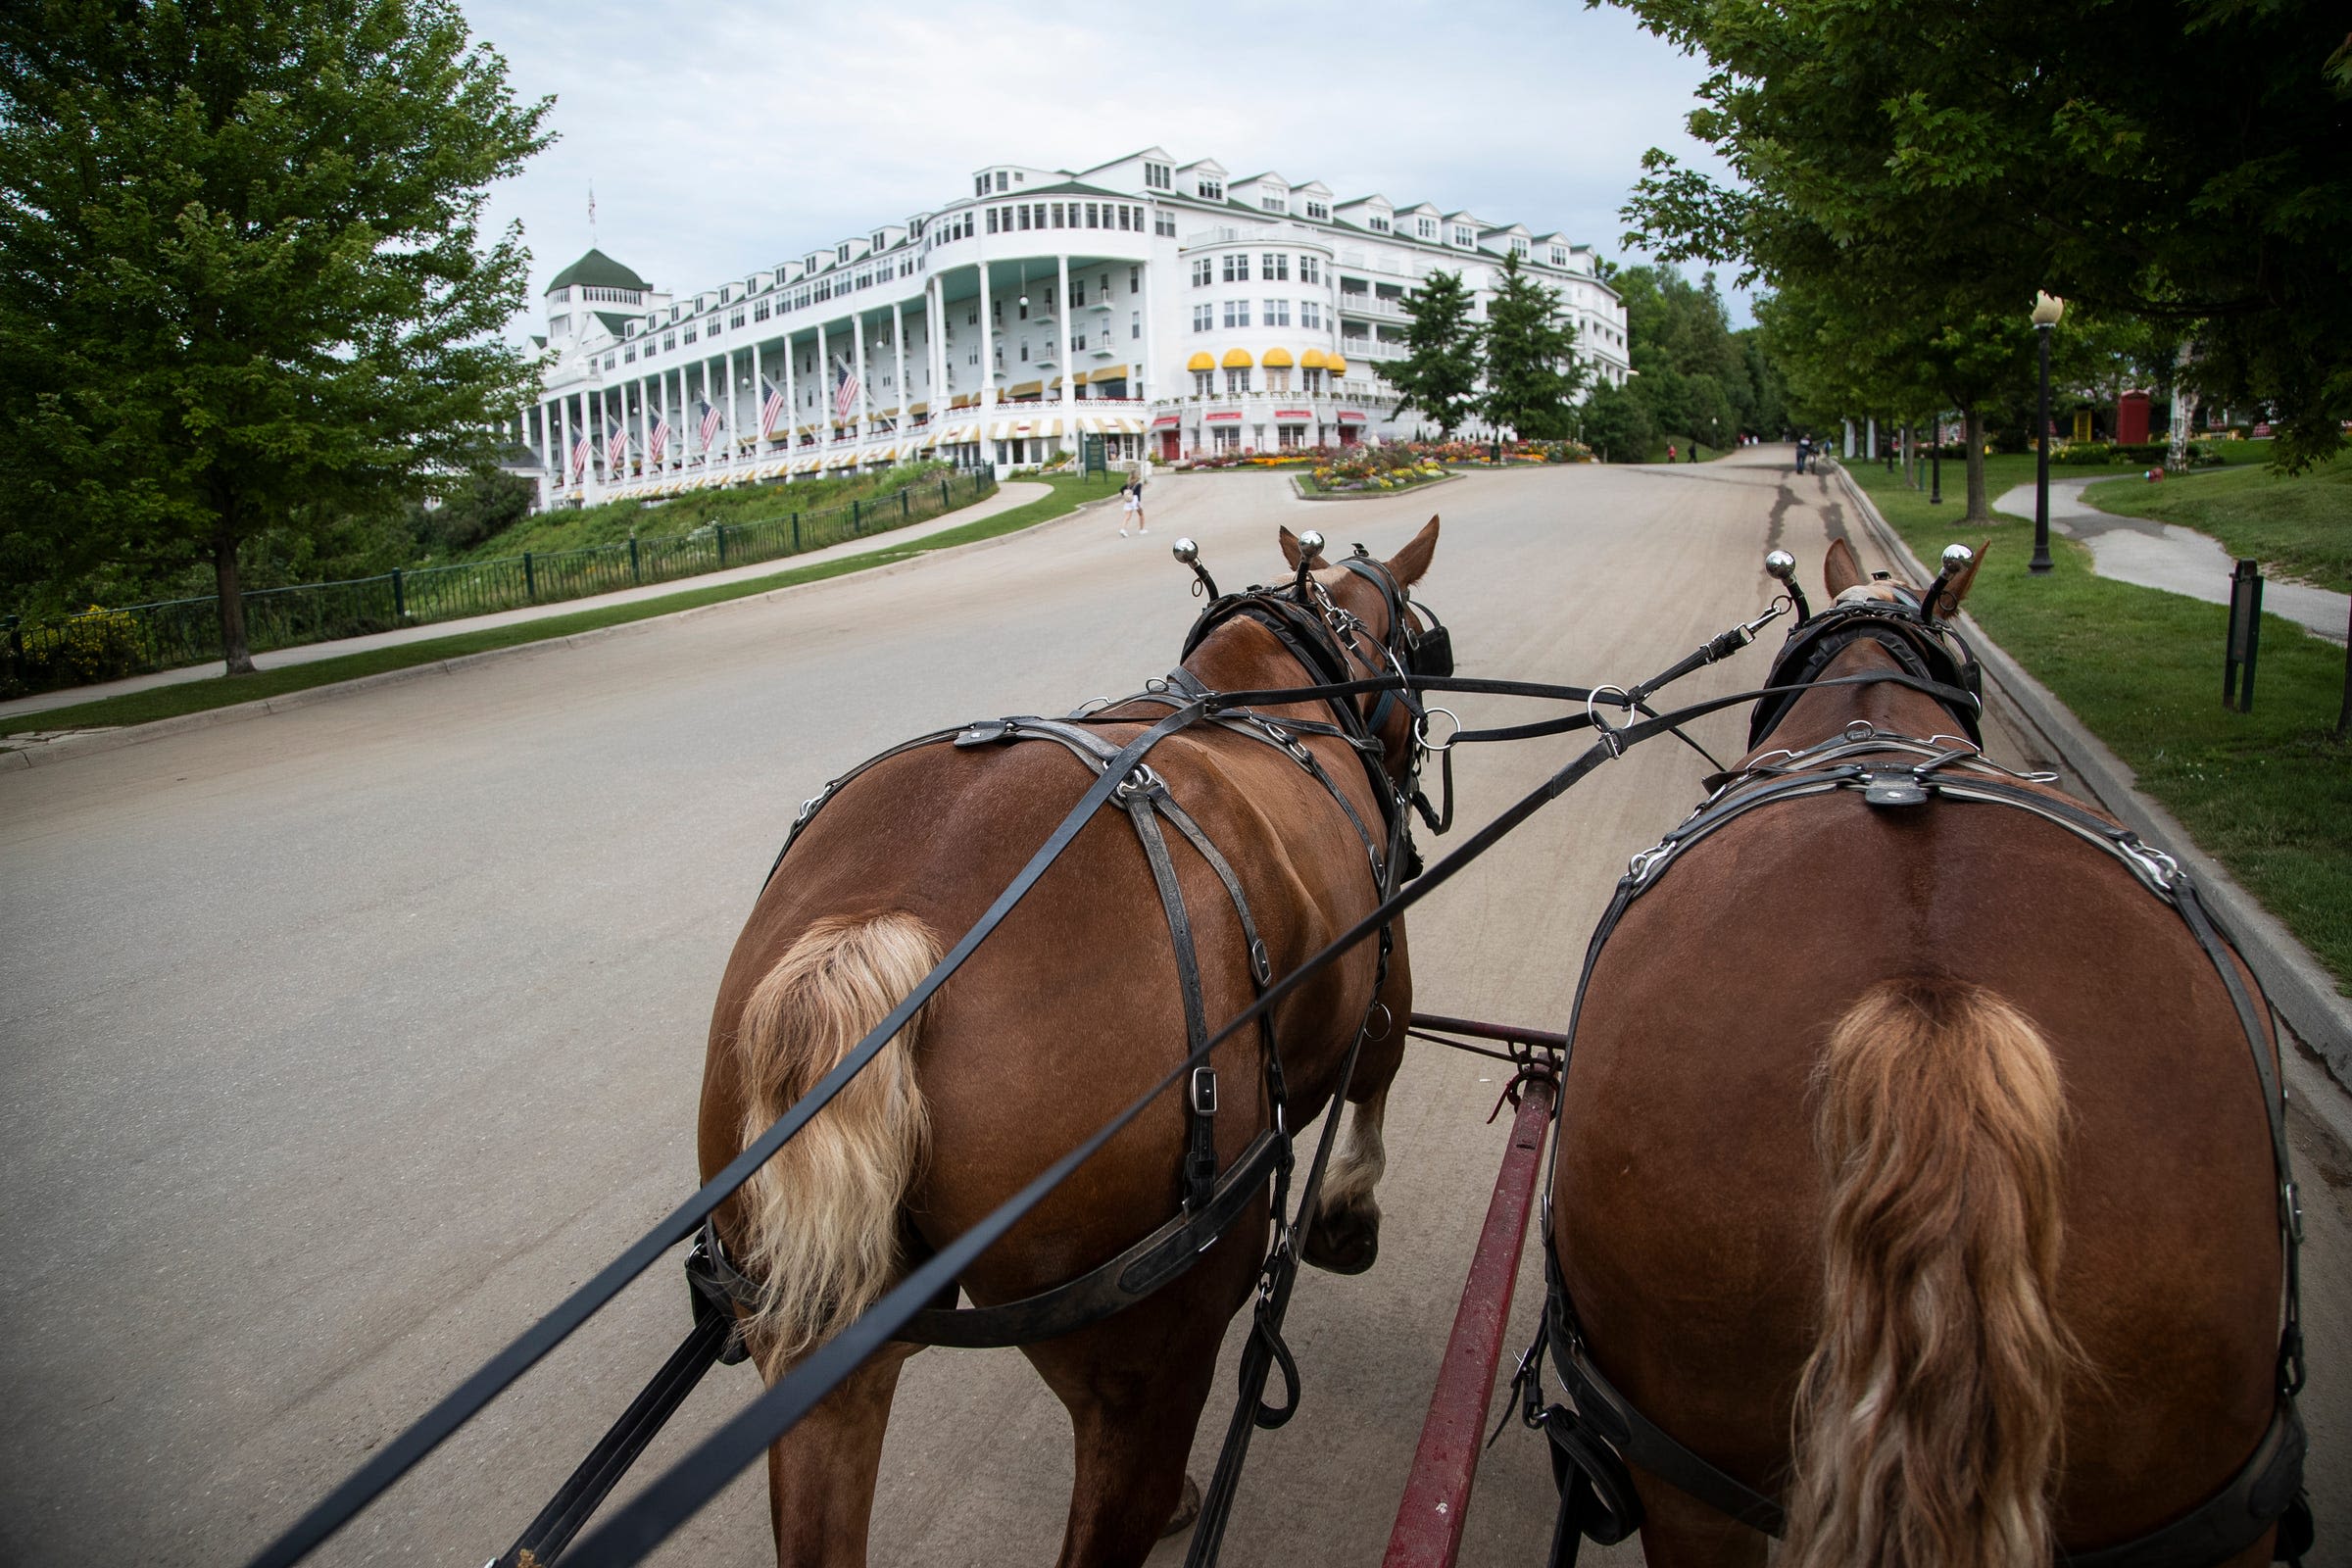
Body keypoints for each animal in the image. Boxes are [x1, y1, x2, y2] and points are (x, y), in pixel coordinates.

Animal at [686, 521, 1439, 1560]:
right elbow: (1379, 1077)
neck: (1273, 697)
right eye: (1418, 637)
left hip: (814, 1339)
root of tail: (888, 931)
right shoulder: (1384, 963)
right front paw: (1348, 1210)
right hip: (1150, 1338)